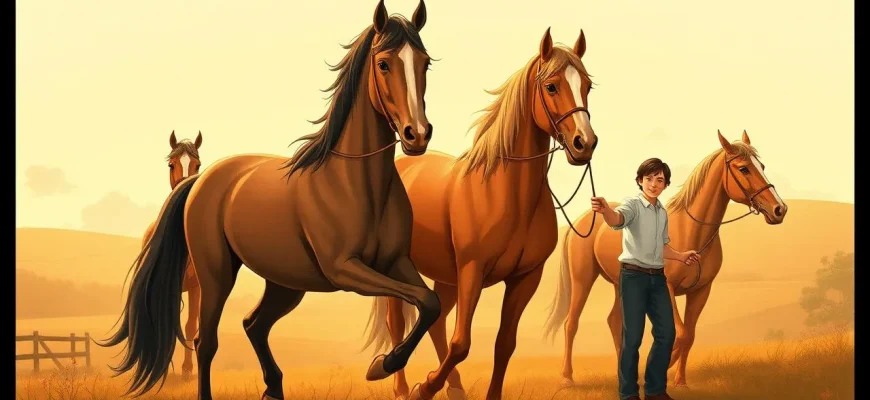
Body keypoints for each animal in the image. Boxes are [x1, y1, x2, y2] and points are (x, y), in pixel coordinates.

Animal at [361, 28, 600, 400]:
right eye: (551, 86)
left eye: (586, 85)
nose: (584, 143)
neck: (505, 194)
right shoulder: (472, 271)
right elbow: (461, 342)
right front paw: (422, 388)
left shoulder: (525, 278)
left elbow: (504, 344)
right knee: (397, 323)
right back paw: (398, 384)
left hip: (446, 275)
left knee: (436, 323)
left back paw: (454, 386)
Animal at [543, 130, 788, 388]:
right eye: (744, 169)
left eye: (761, 166)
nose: (779, 209)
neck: (691, 231)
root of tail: (582, 220)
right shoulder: (667, 287)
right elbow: (680, 333)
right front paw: (664, 367)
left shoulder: (701, 292)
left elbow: (689, 335)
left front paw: (680, 381)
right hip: (582, 279)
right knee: (571, 323)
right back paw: (567, 378)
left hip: (620, 284)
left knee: (615, 322)